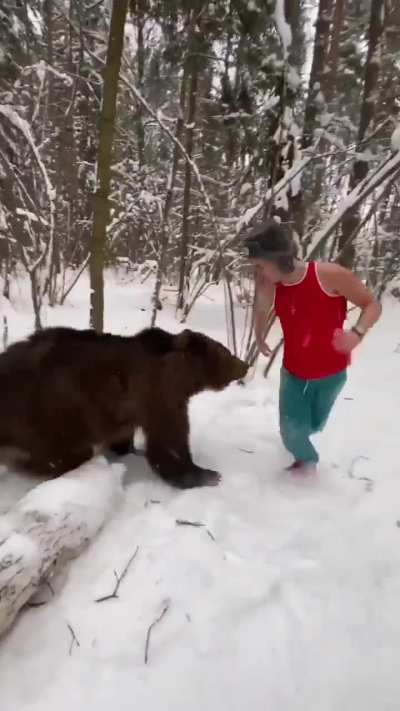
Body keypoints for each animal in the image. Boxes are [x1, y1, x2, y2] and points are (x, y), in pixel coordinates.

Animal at [0, 325, 248, 488]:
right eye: (226, 351)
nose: (245, 364)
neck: (184, 377)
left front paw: (127, 449)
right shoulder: (160, 395)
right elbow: (169, 440)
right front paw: (204, 474)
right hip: (54, 412)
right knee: (63, 452)